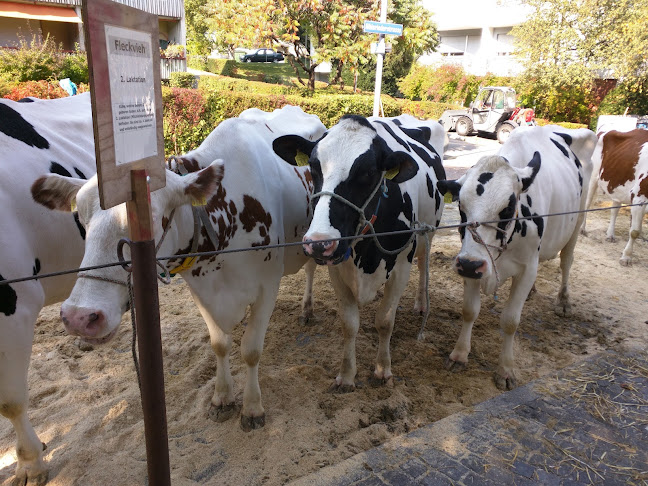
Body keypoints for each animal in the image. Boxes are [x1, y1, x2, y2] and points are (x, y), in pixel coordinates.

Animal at [31, 104, 326, 434]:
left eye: (149, 219)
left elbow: (251, 350)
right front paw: (222, 398)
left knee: (311, 269)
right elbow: (220, 344)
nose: (80, 317)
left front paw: (252, 408)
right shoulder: (201, 291)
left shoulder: (267, 286)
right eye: (80, 218)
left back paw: (307, 310)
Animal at [270, 114, 448, 392]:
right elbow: (349, 323)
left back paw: (421, 304)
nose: (321, 242)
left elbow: (385, 321)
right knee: (310, 268)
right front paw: (346, 376)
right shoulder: (337, 266)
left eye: (368, 172)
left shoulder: (401, 265)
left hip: (427, 234)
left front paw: (383, 370)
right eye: (313, 167)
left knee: (423, 264)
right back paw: (307, 310)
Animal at [436, 126, 596, 392]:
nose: (469, 264)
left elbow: (510, 321)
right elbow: (469, 310)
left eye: (509, 208)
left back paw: (564, 301)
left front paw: (506, 370)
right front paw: (459, 355)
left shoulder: (525, 268)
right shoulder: (472, 262)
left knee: (566, 261)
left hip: (577, 222)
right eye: (461, 207)